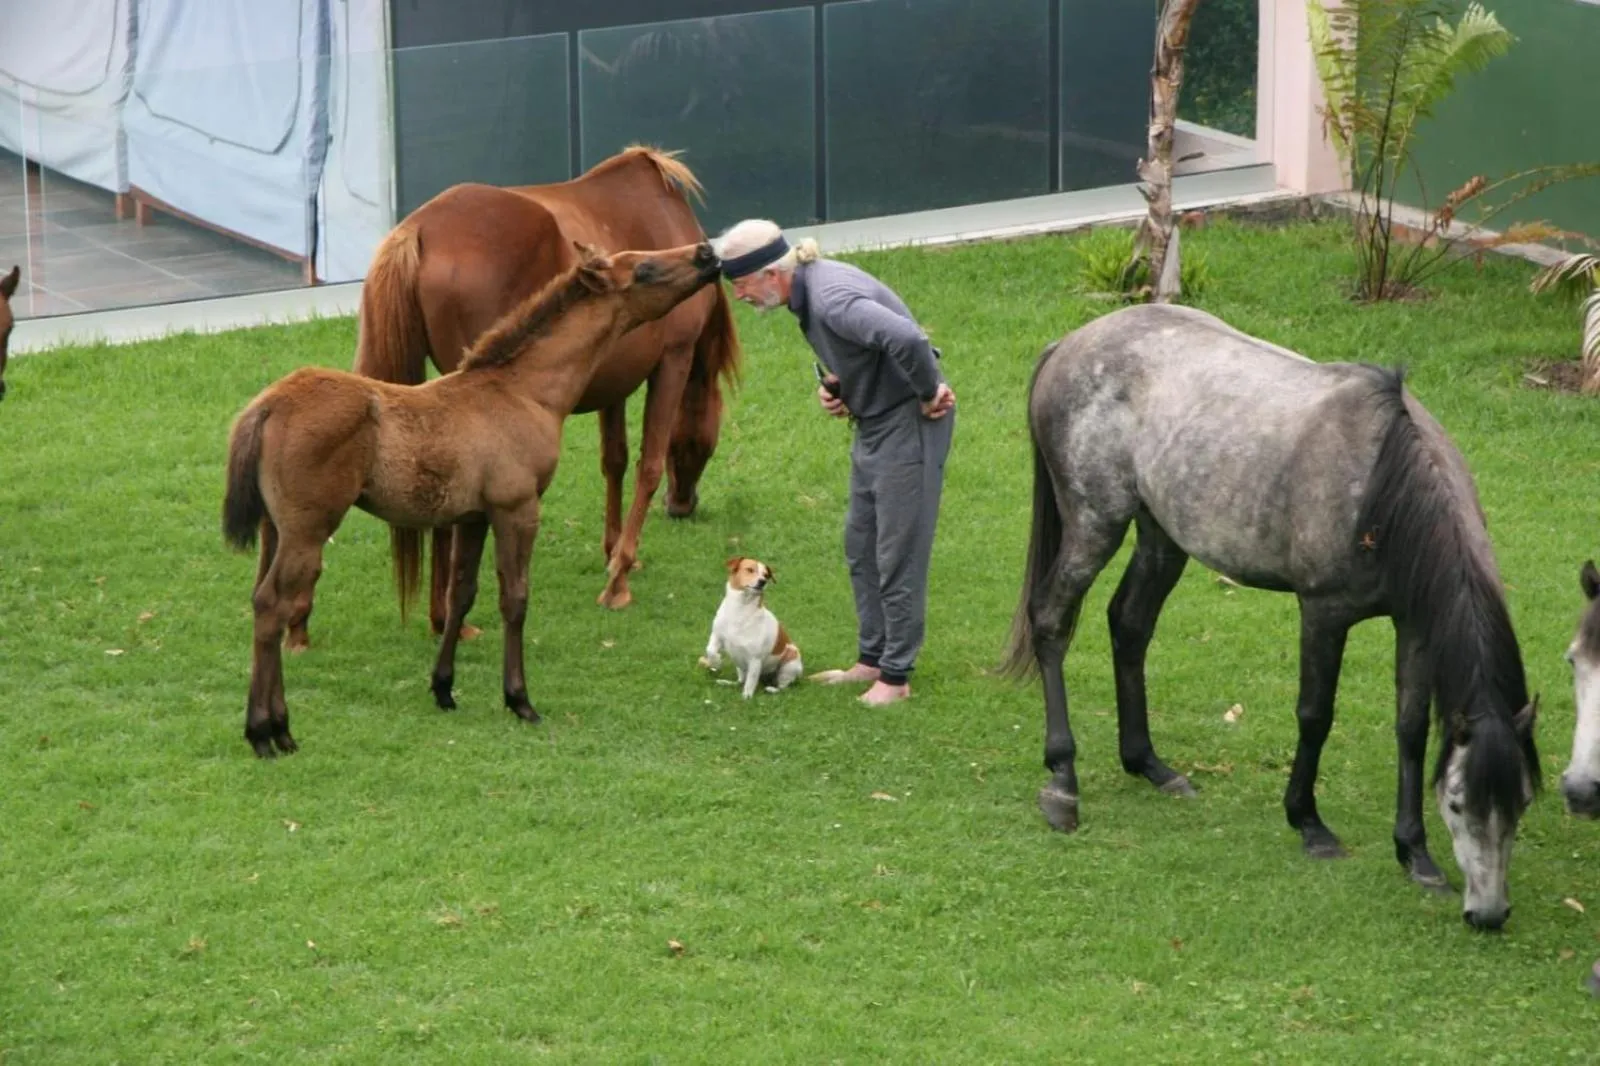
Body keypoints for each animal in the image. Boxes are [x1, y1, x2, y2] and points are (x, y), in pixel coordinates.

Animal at [222, 241, 721, 758]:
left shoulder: (472, 517)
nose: (706, 253)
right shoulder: (517, 509)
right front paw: (519, 699)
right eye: (643, 268)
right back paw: (265, 732)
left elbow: (460, 594)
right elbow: (514, 599)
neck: (524, 392)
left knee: (262, 603)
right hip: (307, 530)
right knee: (273, 605)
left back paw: (276, 727)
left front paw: (443, 688)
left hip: (274, 530)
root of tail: (266, 405)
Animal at [311, 144, 739, 653]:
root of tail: (418, 231)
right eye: (705, 443)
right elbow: (648, 465)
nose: (682, 506)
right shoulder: (673, 360)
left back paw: (441, 617)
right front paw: (618, 579)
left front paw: (614, 550)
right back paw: (448, 617)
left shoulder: (611, 379)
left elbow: (613, 460)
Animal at [1002, 303, 1541, 931]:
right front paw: (1308, 822)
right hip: (1094, 526)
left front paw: (1415, 853)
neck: (1383, 484)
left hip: (1161, 536)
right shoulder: (1324, 613)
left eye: (1522, 801)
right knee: (1051, 621)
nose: (1489, 913)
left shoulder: (1414, 626)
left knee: (1129, 625)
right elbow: (1314, 715)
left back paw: (1150, 765)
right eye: (1457, 802)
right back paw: (1063, 783)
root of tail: (1071, 343)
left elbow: (1409, 729)